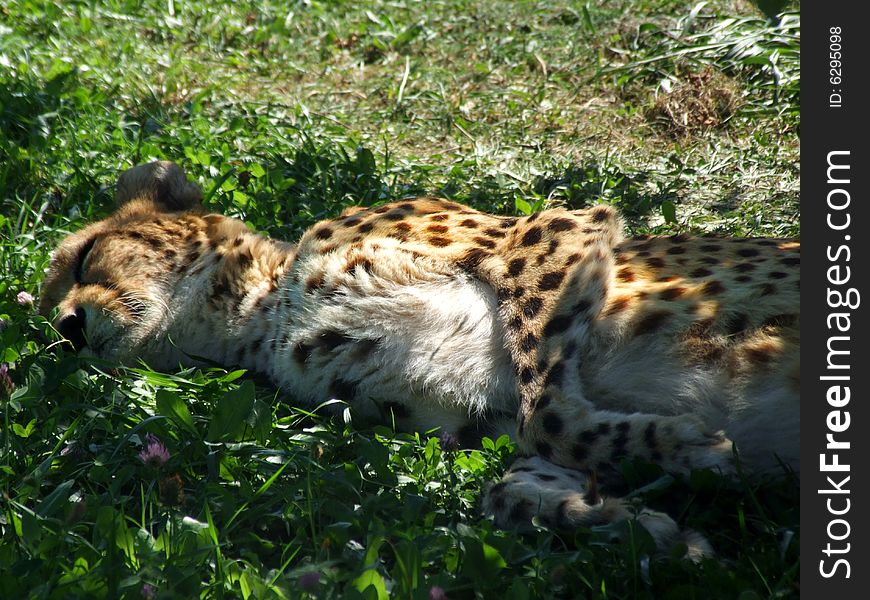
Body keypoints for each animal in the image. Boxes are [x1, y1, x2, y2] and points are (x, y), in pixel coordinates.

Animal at [41, 161, 804, 556]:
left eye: (86, 255)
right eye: (45, 320)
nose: (66, 330)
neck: (258, 311)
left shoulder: (555, 227)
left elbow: (549, 411)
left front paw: (691, 450)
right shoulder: (470, 424)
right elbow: (512, 481)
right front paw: (641, 524)